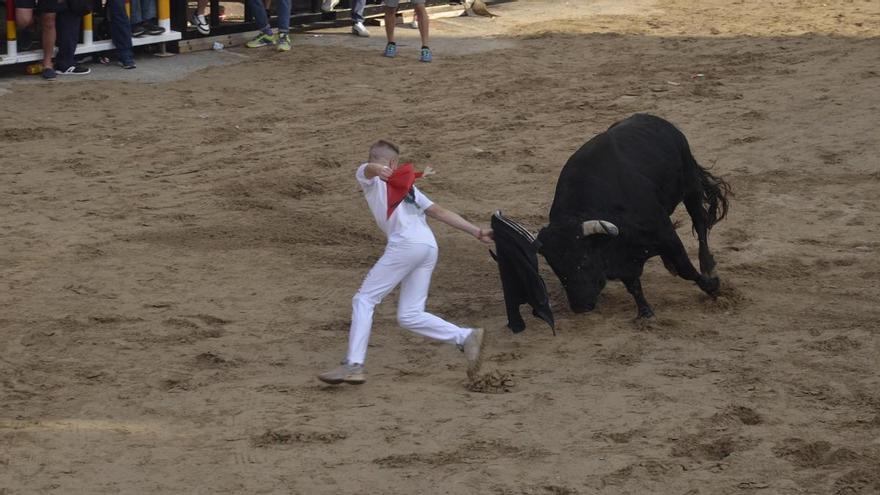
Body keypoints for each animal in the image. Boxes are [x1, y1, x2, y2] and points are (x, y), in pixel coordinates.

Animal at [492, 113, 732, 330]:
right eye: (555, 266)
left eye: (584, 258)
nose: (580, 306)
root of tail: (657, 120)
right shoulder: (624, 256)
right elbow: (633, 284)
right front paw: (645, 313)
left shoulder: (665, 234)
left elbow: (685, 268)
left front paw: (713, 287)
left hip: (690, 186)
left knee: (700, 223)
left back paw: (707, 265)